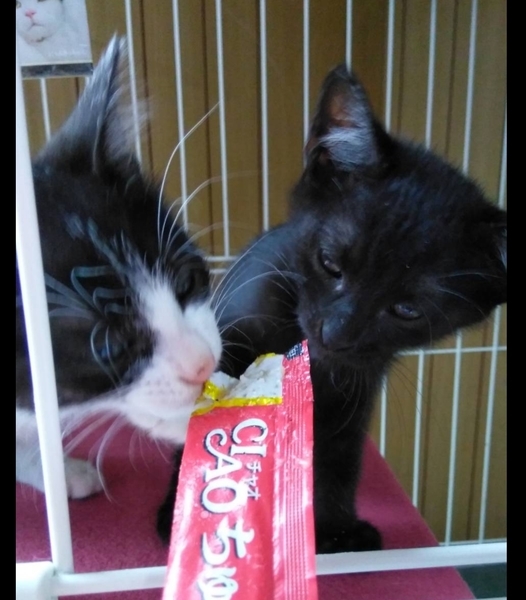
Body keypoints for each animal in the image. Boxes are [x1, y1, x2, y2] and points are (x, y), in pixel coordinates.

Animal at [157, 64, 507, 553]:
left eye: (407, 309)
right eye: (329, 263)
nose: (336, 333)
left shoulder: (355, 394)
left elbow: (340, 462)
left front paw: (336, 528)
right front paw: (186, 509)